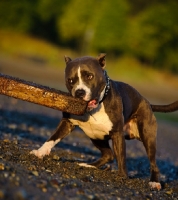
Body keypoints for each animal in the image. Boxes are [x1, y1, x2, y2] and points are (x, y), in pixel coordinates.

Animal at [30, 53, 178, 191]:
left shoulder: (117, 134)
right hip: (95, 136)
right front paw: (40, 151)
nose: (79, 92)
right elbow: (53, 137)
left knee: (153, 163)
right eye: (71, 80)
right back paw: (88, 165)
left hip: (147, 137)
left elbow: (121, 157)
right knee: (109, 155)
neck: (95, 108)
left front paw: (122, 176)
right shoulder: (67, 123)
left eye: (89, 76)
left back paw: (154, 182)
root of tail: (147, 102)